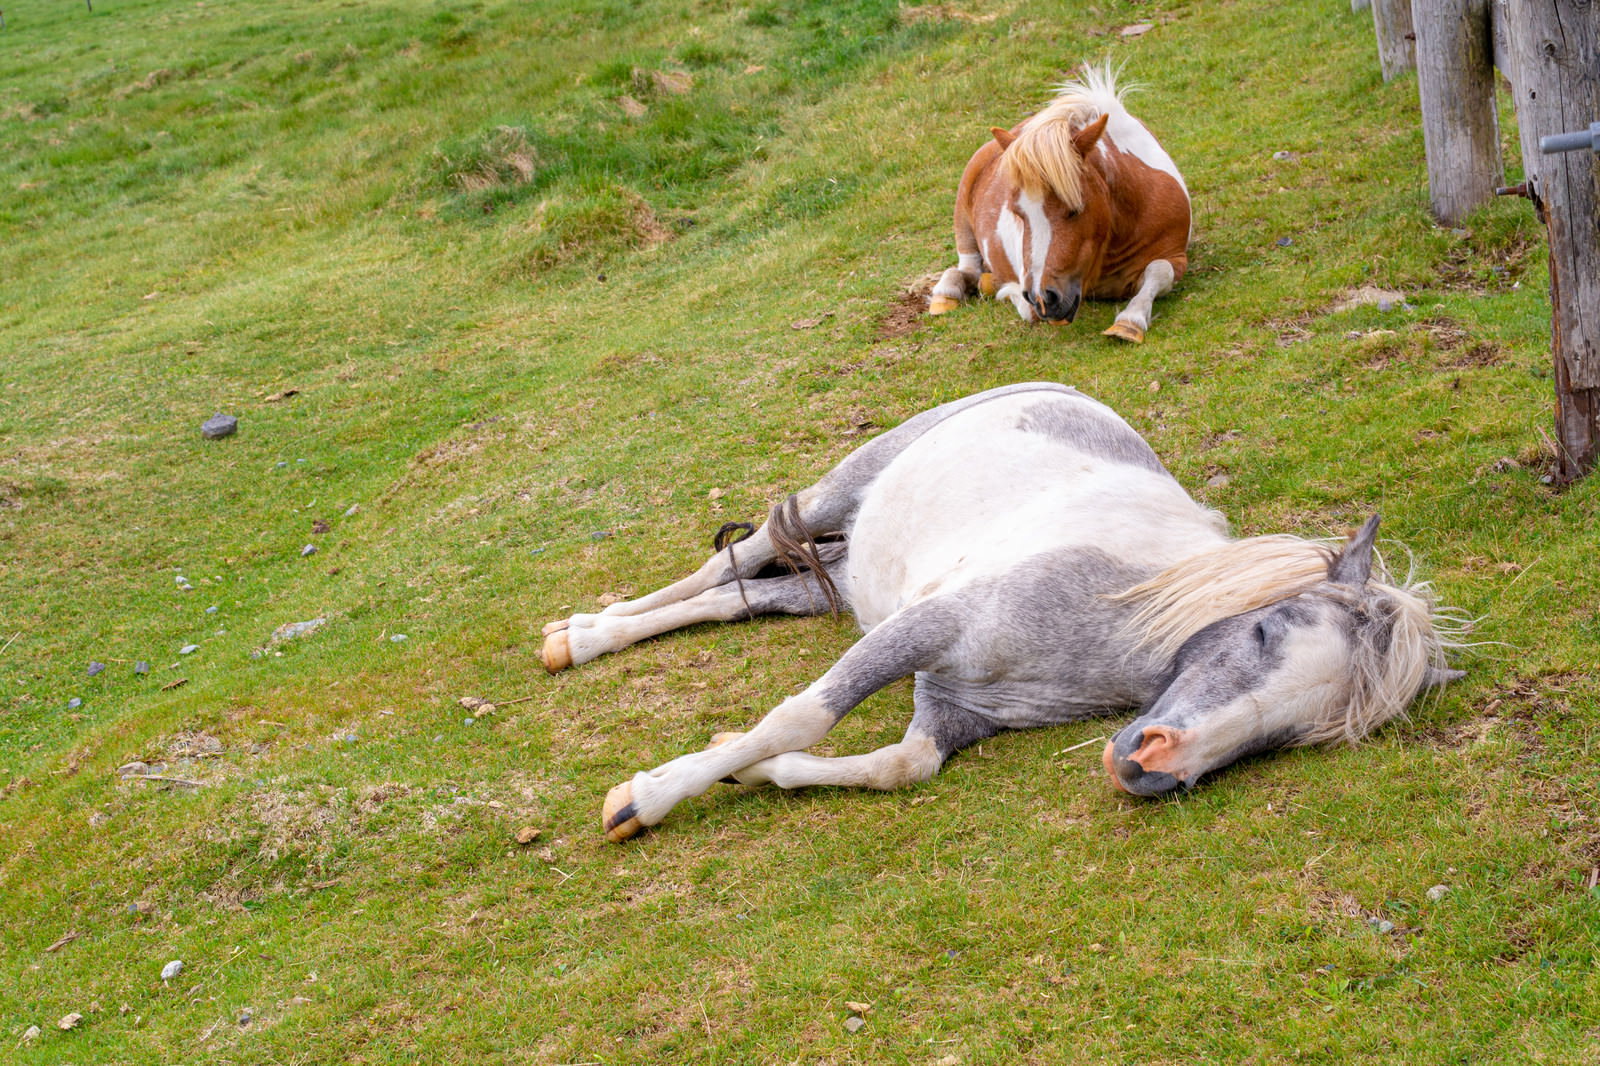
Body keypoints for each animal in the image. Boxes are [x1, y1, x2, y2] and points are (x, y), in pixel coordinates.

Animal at [539, 384, 1464, 843]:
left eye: (1291, 736)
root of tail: (1054, 385)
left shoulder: (950, 707)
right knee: (731, 558)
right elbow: (802, 717)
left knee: (748, 593)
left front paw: (744, 768)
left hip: (844, 579)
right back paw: (585, 636)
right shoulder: (926, 631)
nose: (1148, 765)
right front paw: (645, 799)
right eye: (1263, 631)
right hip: (831, 496)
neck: (1109, 622)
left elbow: (897, 766)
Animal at [927, 64, 1191, 343]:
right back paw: (948, 294)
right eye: (1018, 214)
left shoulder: (1175, 254)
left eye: (1074, 210)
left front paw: (1130, 321)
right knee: (966, 270)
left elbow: (1159, 271)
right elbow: (1024, 305)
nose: (1043, 298)